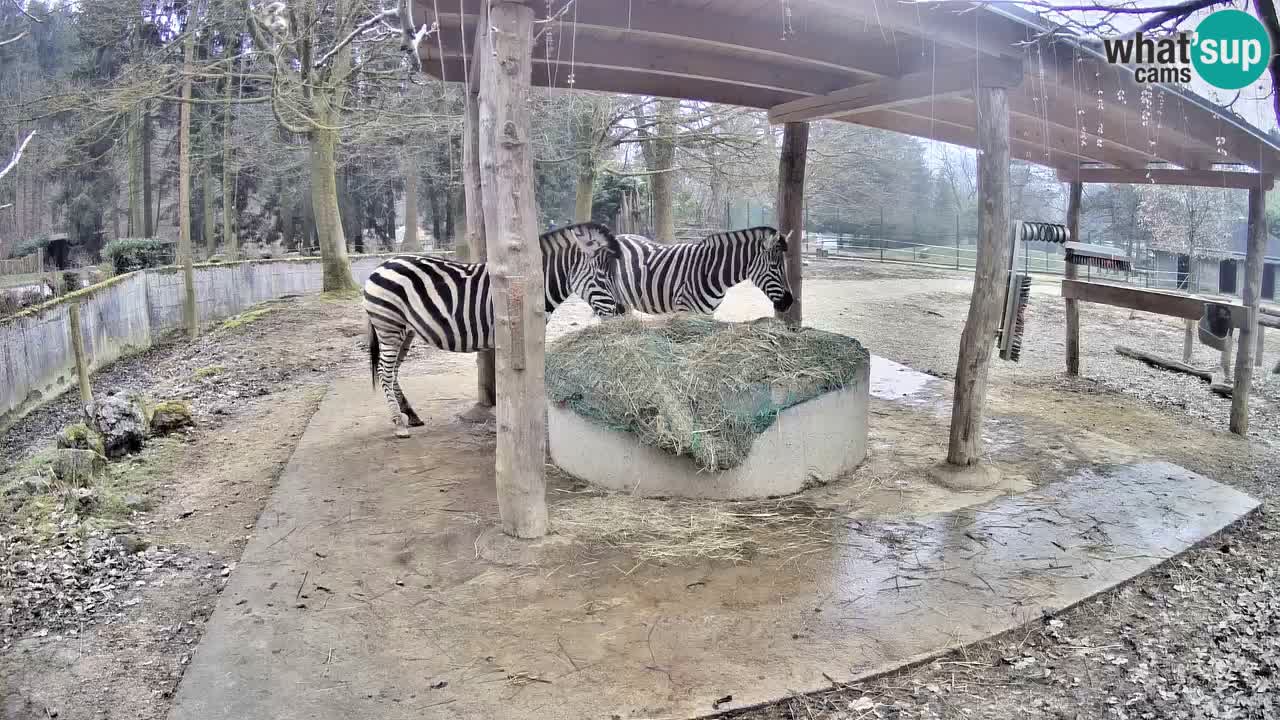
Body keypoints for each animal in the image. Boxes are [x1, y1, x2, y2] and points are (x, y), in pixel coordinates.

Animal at [363, 221, 622, 435]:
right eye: (602, 276)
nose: (622, 312)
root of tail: (381, 265)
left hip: (405, 331)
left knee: (393, 371)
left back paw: (410, 414)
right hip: (389, 326)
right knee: (384, 372)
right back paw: (399, 423)